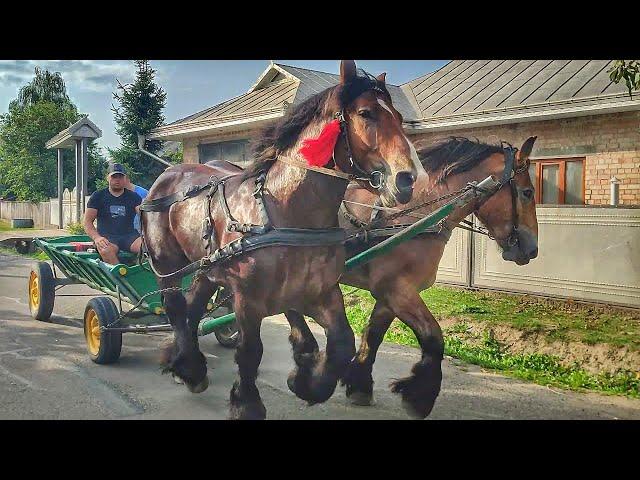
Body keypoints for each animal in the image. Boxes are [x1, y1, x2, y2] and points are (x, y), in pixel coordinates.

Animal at [141, 61, 420, 420]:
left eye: (398, 117)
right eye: (366, 113)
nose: (407, 179)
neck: (285, 209)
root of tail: (166, 175)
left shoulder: (319, 291)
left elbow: (341, 342)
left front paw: (308, 383)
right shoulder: (248, 299)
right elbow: (250, 351)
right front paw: (246, 403)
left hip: (206, 267)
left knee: (194, 306)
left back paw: (188, 367)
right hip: (167, 265)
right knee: (176, 308)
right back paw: (188, 366)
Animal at [282, 135, 536, 416]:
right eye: (527, 192)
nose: (532, 249)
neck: (411, 217)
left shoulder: (391, 293)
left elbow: (374, 334)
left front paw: (360, 384)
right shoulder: (396, 290)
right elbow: (433, 337)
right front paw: (420, 397)